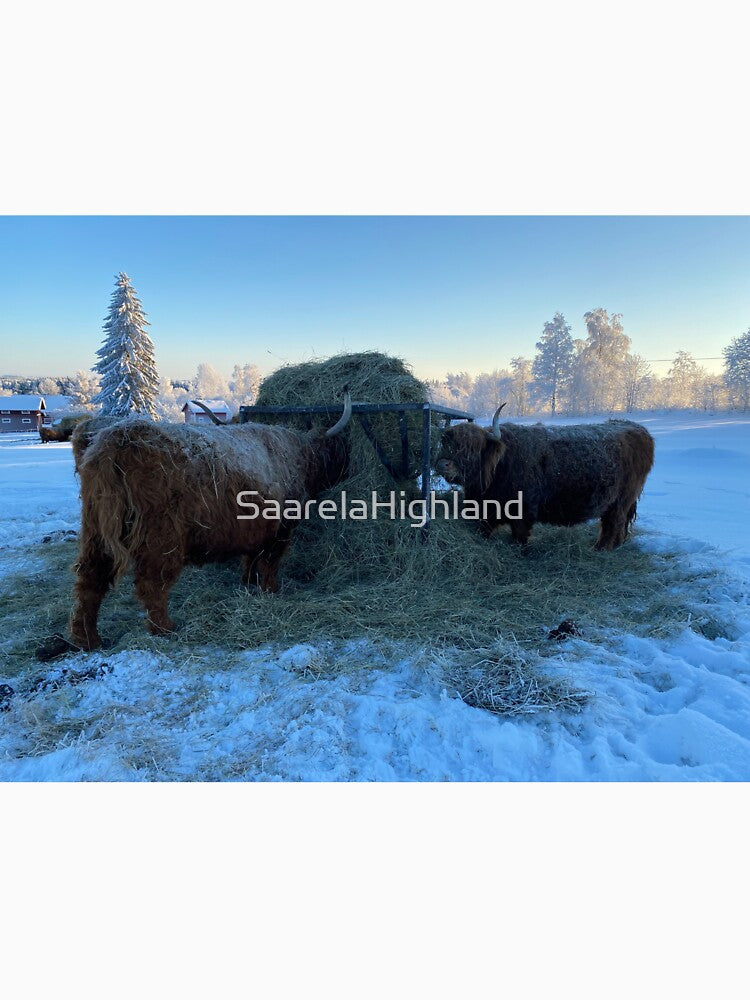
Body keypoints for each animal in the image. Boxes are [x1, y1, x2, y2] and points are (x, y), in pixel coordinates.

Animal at [69, 393, 352, 650]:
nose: (349, 468)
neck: (300, 456)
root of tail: (116, 440)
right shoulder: (281, 530)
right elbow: (270, 564)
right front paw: (271, 591)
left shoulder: (255, 530)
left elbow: (251, 560)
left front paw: (249, 584)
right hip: (161, 539)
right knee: (151, 583)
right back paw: (165, 628)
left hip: (95, 531)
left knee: (89, 581)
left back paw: (87, 639)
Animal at [435, 405, 654, 549]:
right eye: (445, 443)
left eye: (471, 448)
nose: (443, 464)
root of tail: (638, 429)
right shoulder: (486, 510)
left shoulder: (522, 511)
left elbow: (519, 536)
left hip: (621, 500)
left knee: (613, 522)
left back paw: (600, 548)